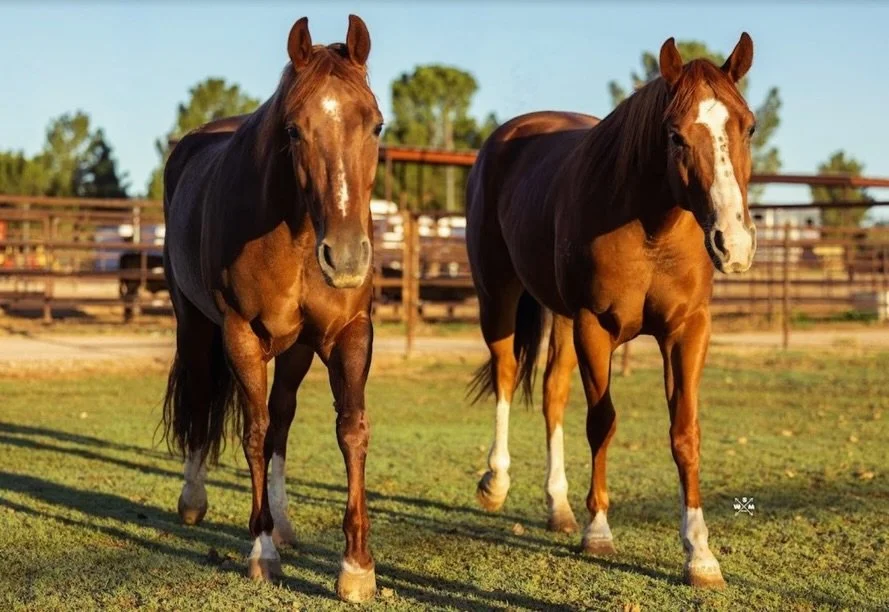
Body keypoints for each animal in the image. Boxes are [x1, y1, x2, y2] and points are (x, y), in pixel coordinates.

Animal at [160, 15, 383, 603]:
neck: (300, 232)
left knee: (283, 418)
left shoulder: (350, 333)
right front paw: (261, 551)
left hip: (297, 348)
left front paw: (356, 567)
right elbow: (253, 432)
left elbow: (350, 429)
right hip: (194, 327)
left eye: (376, 126)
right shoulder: (242, 335)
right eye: (293, 131)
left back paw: (282, 523)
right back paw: (194, 502)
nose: (346, 256)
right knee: (202, 402)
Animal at [466, 34, 758, 588]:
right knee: (507, 374)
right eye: (674, 136)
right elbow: (601, 422)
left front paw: (700, 554)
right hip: (498, 295)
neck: (652, 229)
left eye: (748, 125)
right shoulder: (594, 327)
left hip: (557, 317)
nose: (732, 243)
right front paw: (599, 531)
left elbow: (685, 432)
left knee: (553, 397)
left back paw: (558, 507)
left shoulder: (687, 330)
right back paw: (496, 482)